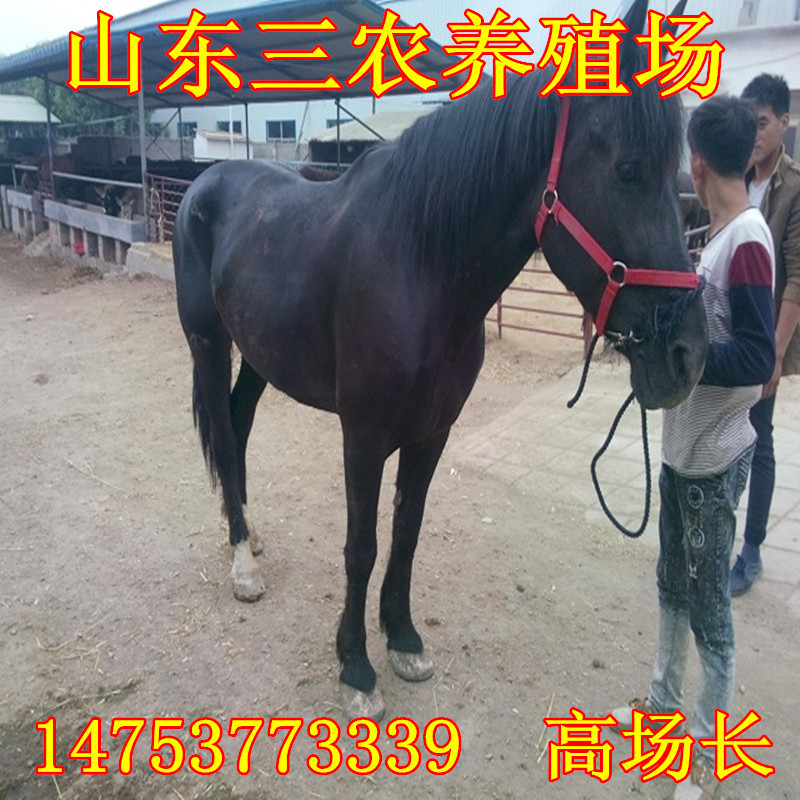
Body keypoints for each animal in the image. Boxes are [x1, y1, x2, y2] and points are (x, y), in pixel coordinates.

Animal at [172, 0, 708, 721]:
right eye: (628, 169)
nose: (689, 354)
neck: (418, 266)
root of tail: (205, 180)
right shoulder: (364, 434)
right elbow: (362, 546)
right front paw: (356, 666)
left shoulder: (432, 433)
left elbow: (407, 533)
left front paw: (401, 638)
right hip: (208, 343)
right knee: (224, 436)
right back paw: (243, 564)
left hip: (260, 354)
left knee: (237, 424)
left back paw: (250, 536)